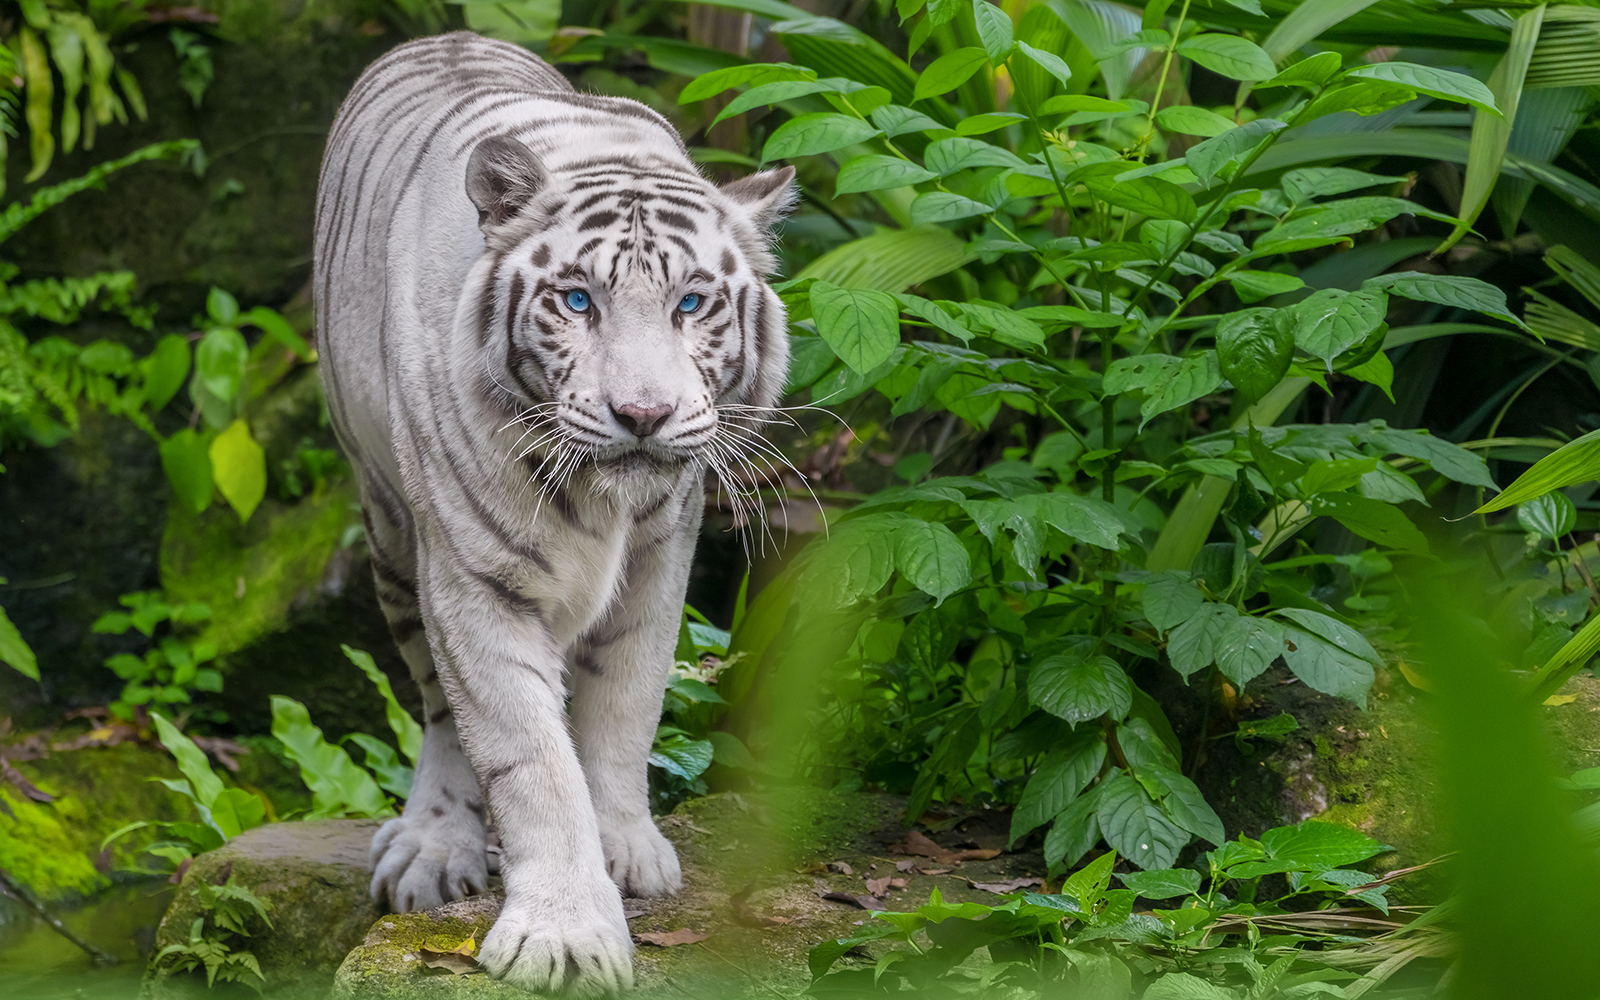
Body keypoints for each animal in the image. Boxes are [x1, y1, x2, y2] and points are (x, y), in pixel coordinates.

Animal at [313, 31, 795, 995]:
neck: (602, 503)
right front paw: (564, 934)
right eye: (578, 301)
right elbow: (530, 758)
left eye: (691, 302)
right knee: (437, 710)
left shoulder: (660, 558)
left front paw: (627, 850)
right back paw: (433, 849)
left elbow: (625, 710)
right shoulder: (473, 581)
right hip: (390, 535)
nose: (642, 415)